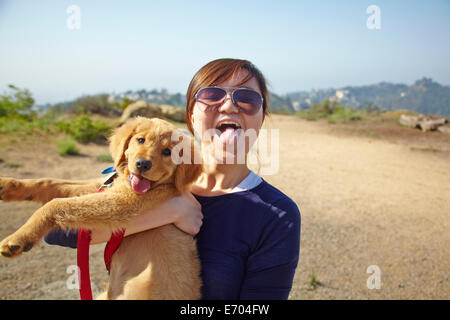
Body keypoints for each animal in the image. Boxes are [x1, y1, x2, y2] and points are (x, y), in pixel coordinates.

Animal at [0, 117, 202, 300]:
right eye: (140, 140)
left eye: (167, 152)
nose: (142, 164)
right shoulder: (104, 186)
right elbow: (51, 183)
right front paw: (7, 185)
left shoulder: (123, 202)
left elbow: (57, 203)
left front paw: (18, 238)